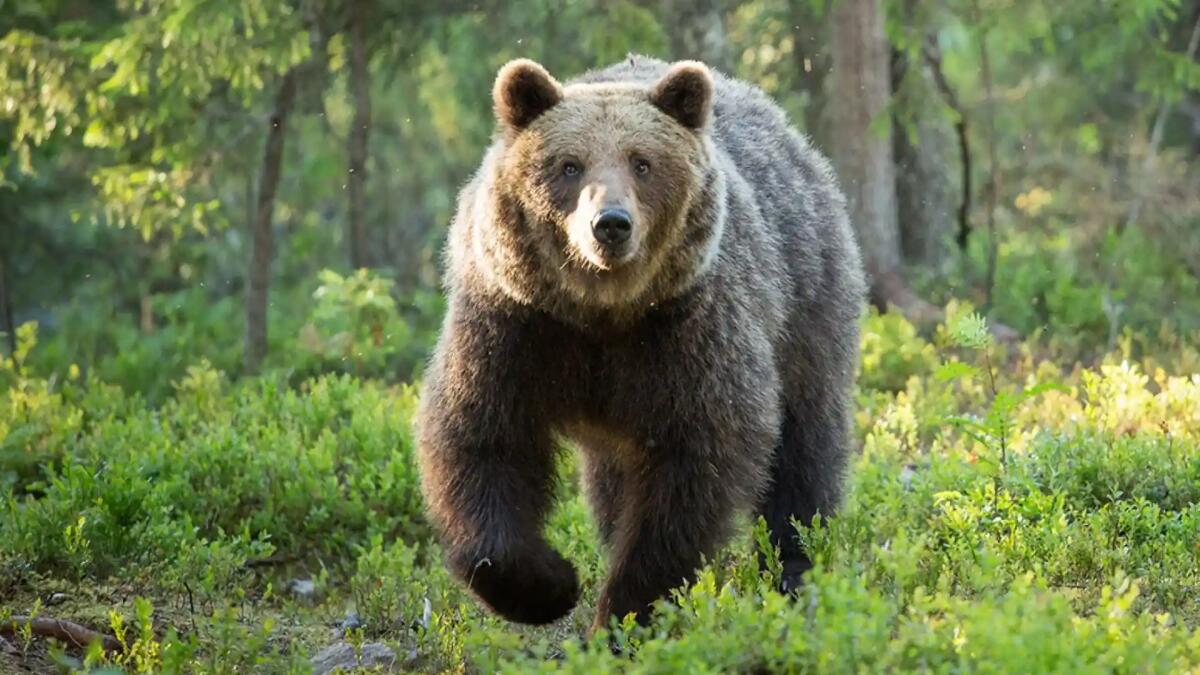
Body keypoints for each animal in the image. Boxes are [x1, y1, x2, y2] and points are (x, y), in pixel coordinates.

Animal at [416, 54, 866, 633]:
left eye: (642, 163)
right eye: (569, 165)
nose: (610, 224)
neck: (602, 312)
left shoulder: (687, 332)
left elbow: (693, 469)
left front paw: (624, 613)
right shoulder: (515, 326)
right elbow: (481, 439)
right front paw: (550, 585)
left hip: (805, 301)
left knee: (805, 444)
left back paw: (796, 567)